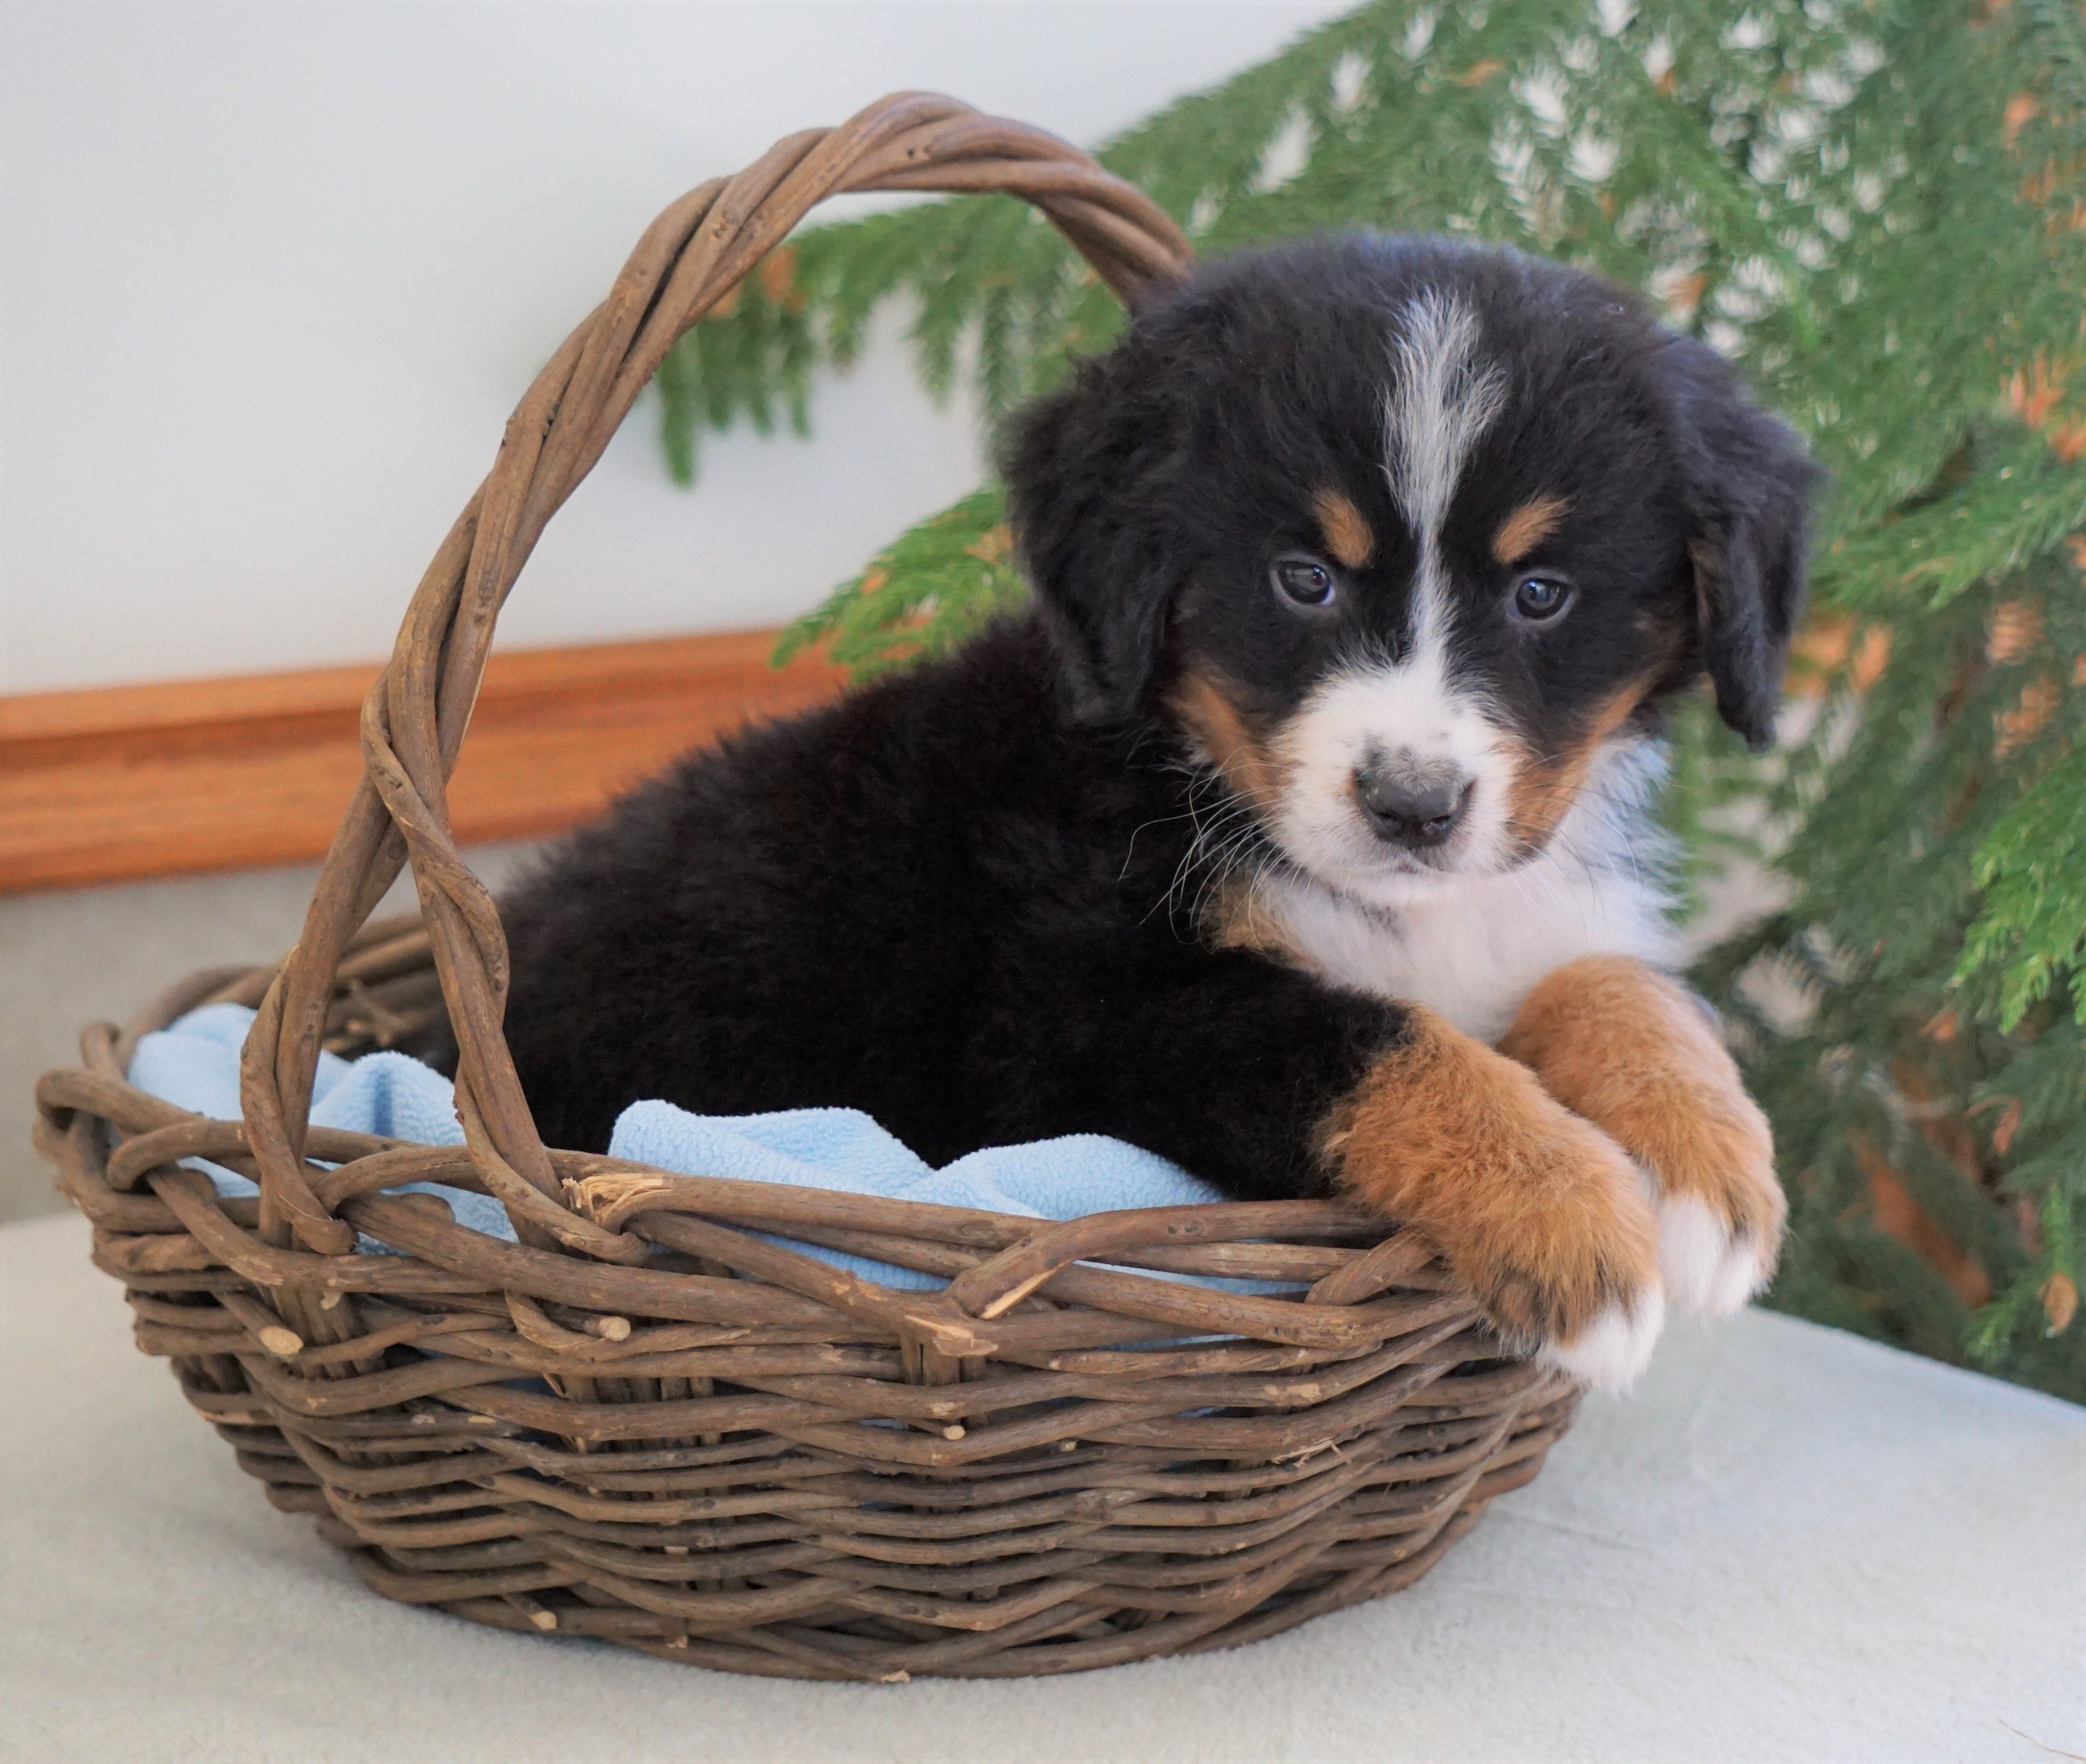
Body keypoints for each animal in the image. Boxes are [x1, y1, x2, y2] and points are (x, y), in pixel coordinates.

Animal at [480, 231, 1819, 1393]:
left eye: (1540, 593)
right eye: (1301, 579)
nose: (1412, 806)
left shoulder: (1513, 925)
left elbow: (1609, 980)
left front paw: (1709, 1166)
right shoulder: (1078, 1013)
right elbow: (1374, 1037)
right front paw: (1570, 1220)